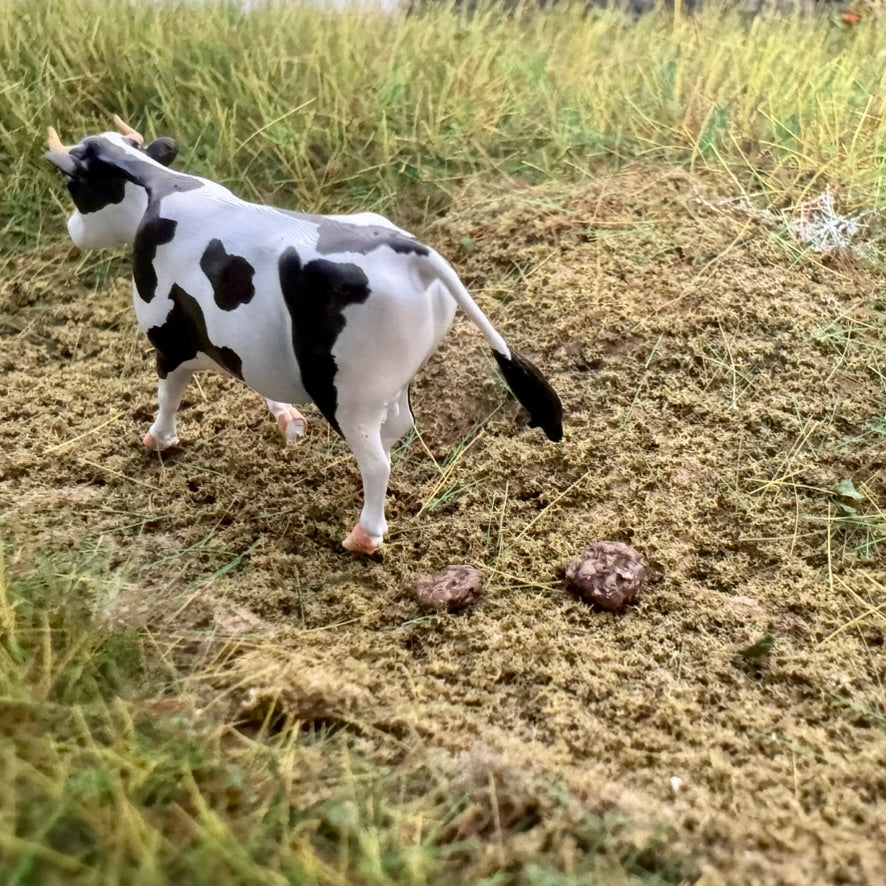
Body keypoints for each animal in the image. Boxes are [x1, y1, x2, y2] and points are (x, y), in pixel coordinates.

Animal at [46, 117, 563, 554]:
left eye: (75, 187)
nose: (71, 230)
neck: (162, 186)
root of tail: (411, 250)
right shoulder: (241, 343)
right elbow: (255, 379)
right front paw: (288, 421)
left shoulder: (169, 339)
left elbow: (169, 394)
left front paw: (158, 440)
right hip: (387, 382)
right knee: (396, 430)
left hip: (347, 395)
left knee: (377, 461)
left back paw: (363, 537)